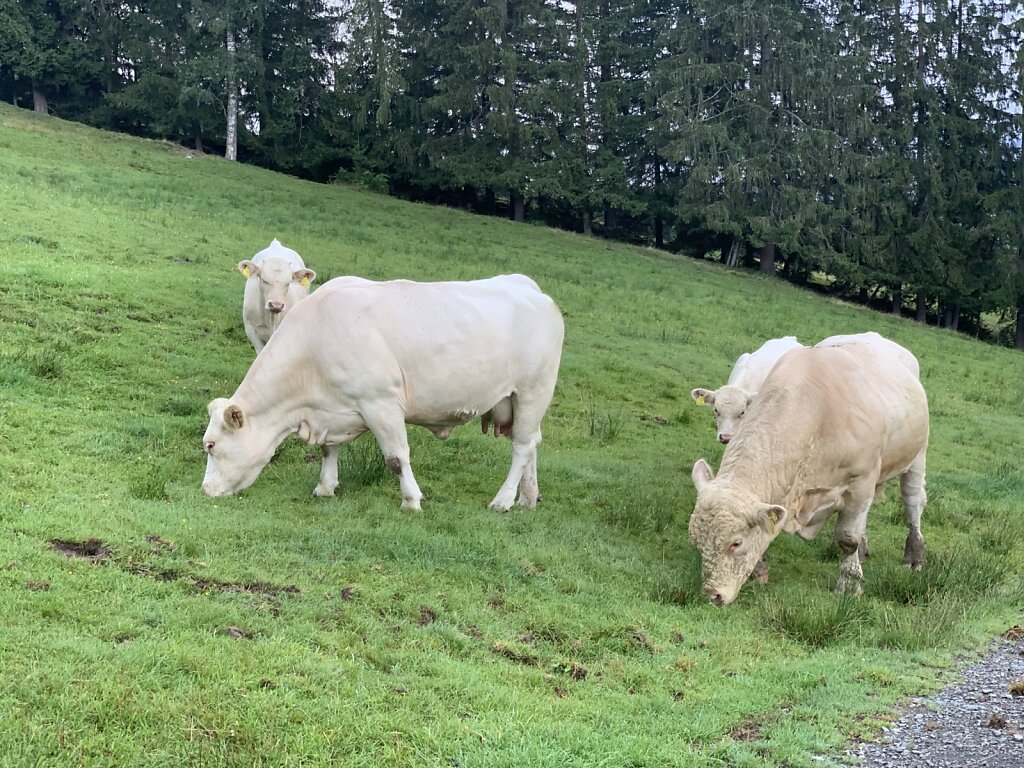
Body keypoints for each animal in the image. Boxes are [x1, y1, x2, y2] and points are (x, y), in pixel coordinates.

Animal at [202, 274, 565, 514]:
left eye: (211, 445)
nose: (205, 490)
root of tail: (528, 286)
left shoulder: (381, 403)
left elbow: (396, 457)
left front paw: (411, 500)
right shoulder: (332, 408)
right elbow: (328, 449)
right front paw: (325, 487)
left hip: (533, 391)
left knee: (521, 447)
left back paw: (503, 500)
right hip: (519, 402)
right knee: (531, 442)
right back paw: (528, 497)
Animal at [688, 344, 929, 606]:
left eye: (736, 543)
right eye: (696, 541)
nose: (713, 594)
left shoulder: (861, 481)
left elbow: (848, 538)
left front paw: (850, 583)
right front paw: (760, 569)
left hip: (917, 455)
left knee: (913, 501)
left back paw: (914, 555)